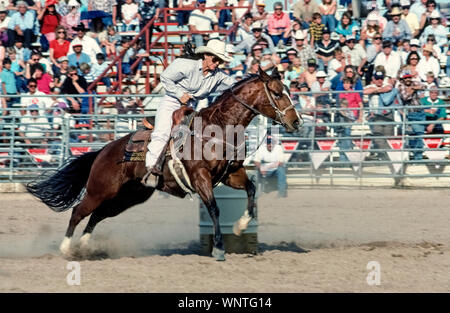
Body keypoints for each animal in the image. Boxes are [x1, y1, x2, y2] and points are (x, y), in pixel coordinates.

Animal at [28, 67, 302, 260]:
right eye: (277, 93)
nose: (296, 121)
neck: (217, 129)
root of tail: (103, 151)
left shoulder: (231, 174)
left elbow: (252, 190)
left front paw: (240, 225)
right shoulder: (200, 177)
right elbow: (214, 209)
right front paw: (219, 249)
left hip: (130, 195)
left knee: (98, 214)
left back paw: (84, 246)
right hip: (100, 189)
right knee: (79, 211)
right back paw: (66, 248)